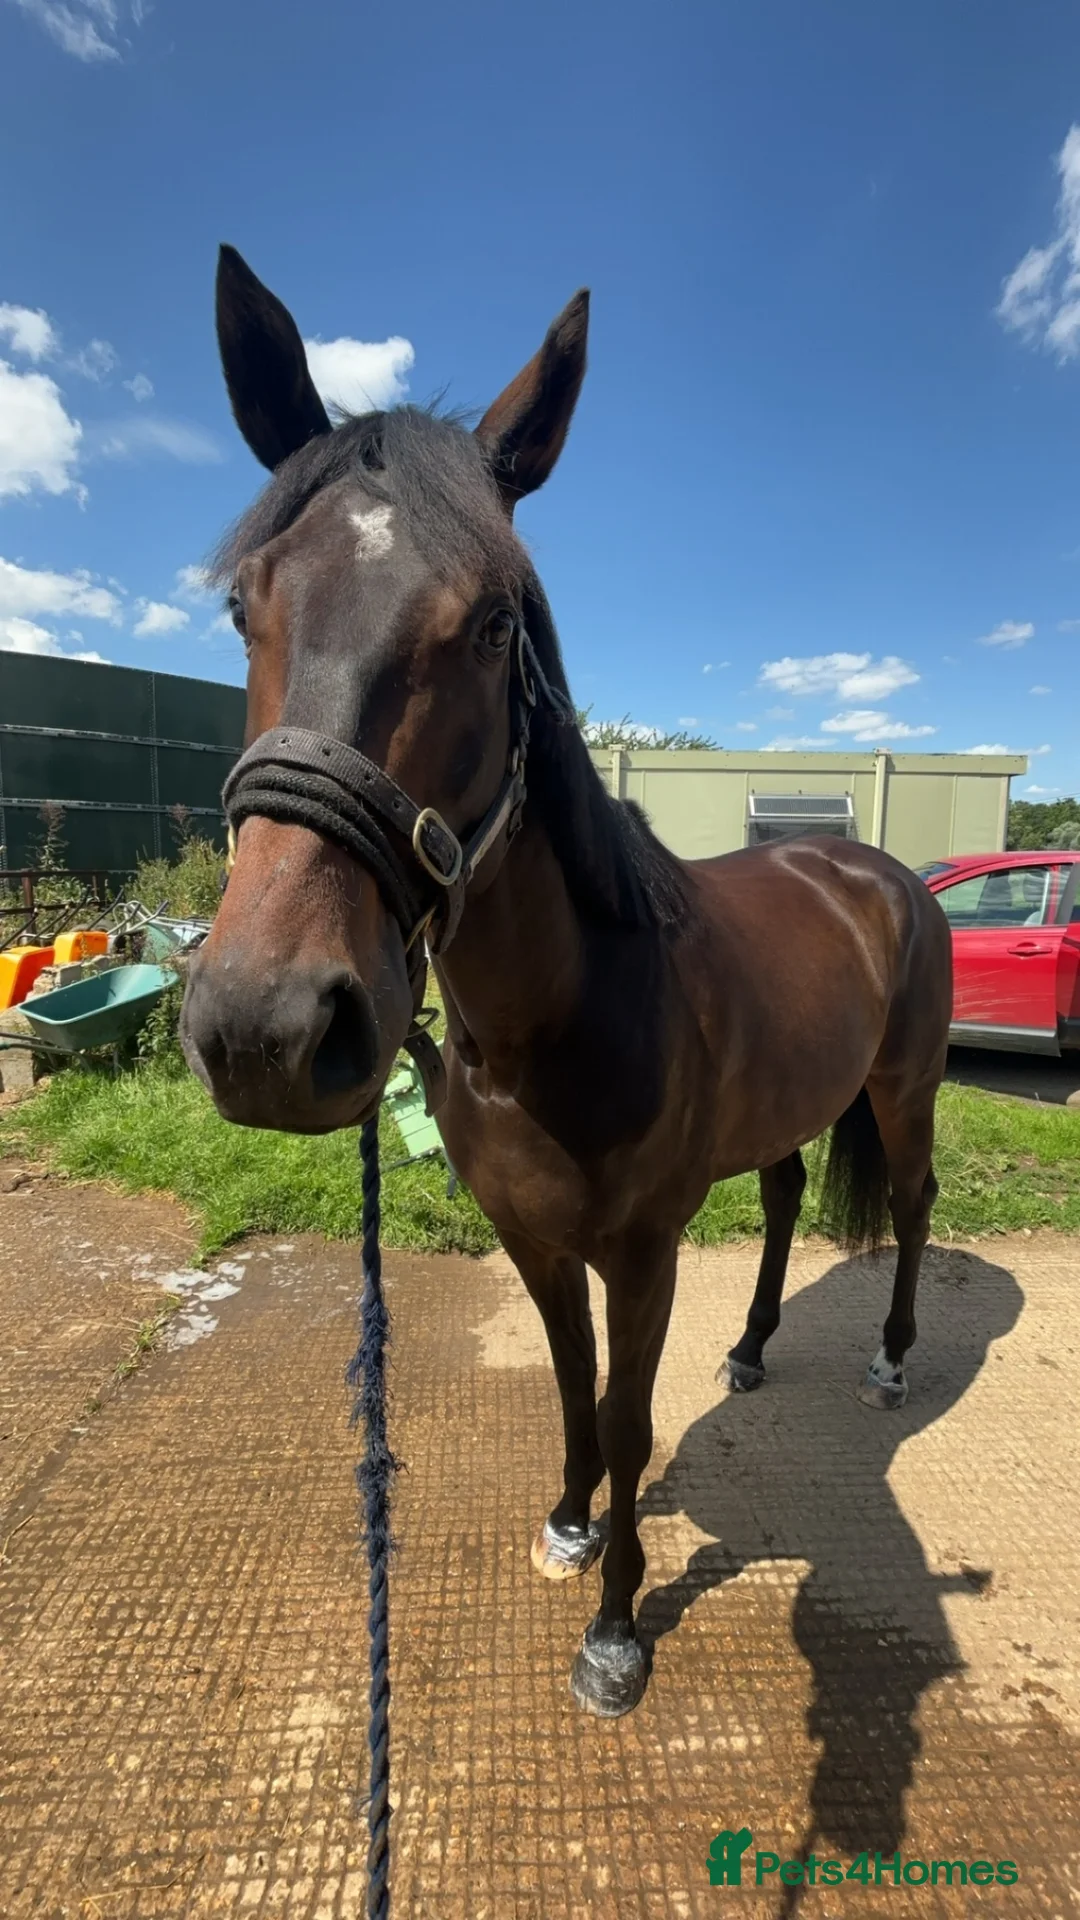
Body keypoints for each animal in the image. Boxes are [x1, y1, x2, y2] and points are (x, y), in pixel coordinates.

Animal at [181, 244, 953, 1719]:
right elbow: (570, 1386)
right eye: (245, 606)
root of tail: (879, 872)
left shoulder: (640, 1252)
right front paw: (569, 1521)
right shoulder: (536, 1243)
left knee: (915, 1204)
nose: (265, 1027)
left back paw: (890, 1360)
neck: (558, 1022)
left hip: (906, 1086)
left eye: (494, 625)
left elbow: (630, 1414)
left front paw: (615, 1629)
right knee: (783, 1197)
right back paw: (753, 1349)